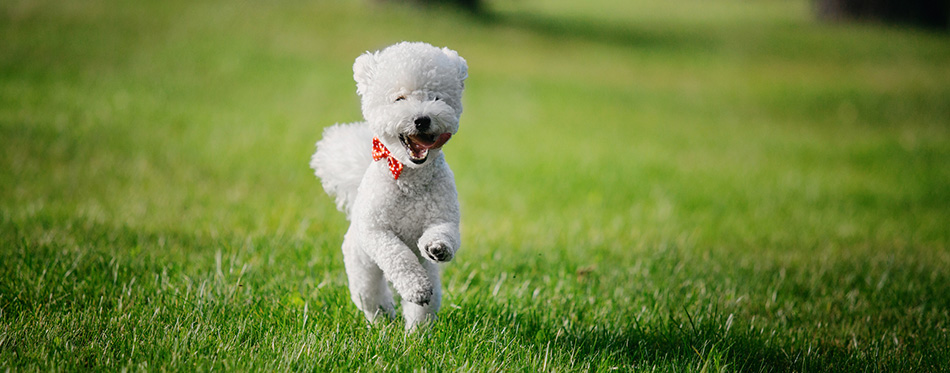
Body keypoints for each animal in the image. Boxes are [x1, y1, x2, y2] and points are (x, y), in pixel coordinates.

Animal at [312, 42, 468, 330]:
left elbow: (444, 233)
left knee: (425, 307)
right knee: (373, 298)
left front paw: (437, 248)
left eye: (436, 98)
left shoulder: (444, 216)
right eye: (399, 99)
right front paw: (414, 287)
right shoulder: (376, 230)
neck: (411, 178)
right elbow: (399, 256)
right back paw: (383, 321)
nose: (422, 119)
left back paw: (417, 333)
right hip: (363, 269)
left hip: (430, 280)